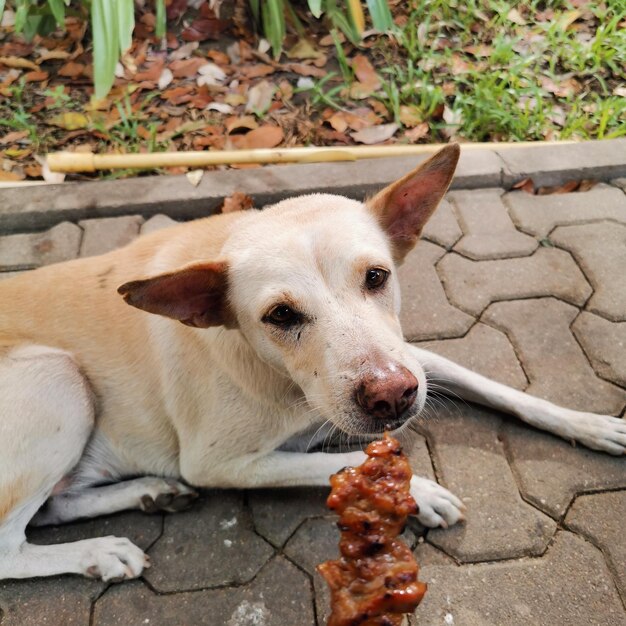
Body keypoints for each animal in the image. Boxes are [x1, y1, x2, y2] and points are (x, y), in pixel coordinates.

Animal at [1, 143, 624, 580]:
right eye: (280, 315)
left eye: (377, 276)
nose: (391, 395)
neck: (285, 380)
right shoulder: (216, 462)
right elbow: (340, 464)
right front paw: (419, 492)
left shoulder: (408, 356)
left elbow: (502, 389)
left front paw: (592, 425)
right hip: (57, 377)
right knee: (10, 546)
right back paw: (100, 552)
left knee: (52, 509)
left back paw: (149, 492)